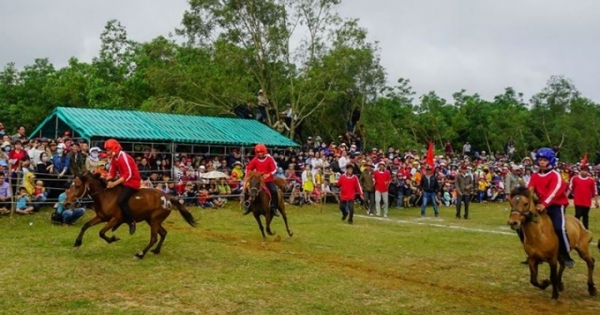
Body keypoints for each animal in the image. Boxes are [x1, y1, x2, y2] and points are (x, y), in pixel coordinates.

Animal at [65, 173, 197, 260]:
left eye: (77, 186)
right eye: (70, 185)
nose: (67, 203)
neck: (105, 196)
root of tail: (168, 198)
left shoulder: (115, 220)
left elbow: (101, 233)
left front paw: (113, 238)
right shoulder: (101, 217)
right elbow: (85, 226)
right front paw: (77, 243)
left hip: (155, 220)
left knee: (154, 238)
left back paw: (140, 254)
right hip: (151, 220)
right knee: (163, 233)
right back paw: (156, 250)